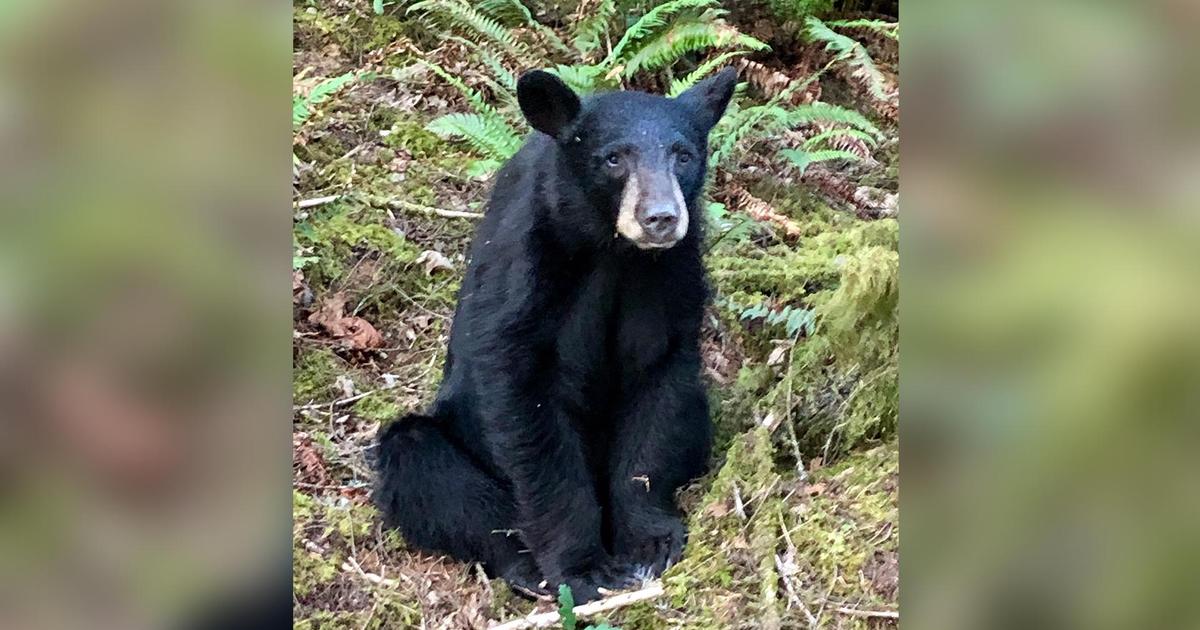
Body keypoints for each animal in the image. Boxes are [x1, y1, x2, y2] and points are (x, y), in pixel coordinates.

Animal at [373, 67, 737, 603]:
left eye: (684, 154)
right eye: (614, 158)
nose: (661, 218)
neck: (612, 252)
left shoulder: (671, 276)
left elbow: (659, 383)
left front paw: (648, 541)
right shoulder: (527, 268)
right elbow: (526, 405)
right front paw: (582, 567)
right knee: (421, 464)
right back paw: (524, 564)